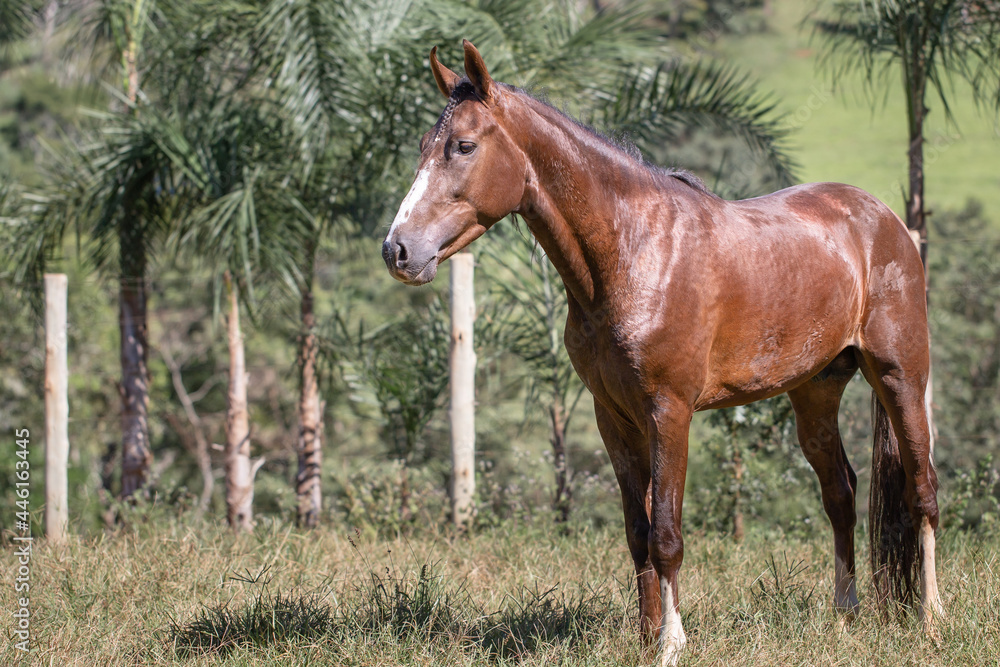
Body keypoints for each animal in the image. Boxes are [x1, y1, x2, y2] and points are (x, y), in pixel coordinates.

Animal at [381, 40, 943, 665]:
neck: (633, 251)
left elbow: (668, 534)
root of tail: (886, 220)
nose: (398, 250)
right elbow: (638, 533)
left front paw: (671, 642)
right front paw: (645, 635)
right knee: (840, 493)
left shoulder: (669, 412)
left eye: (464, 146)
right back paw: (845, 614)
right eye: (424, 145)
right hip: (815, 391)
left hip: (900, 376)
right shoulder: (614, 418)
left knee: (923, 490)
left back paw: (931, 619)